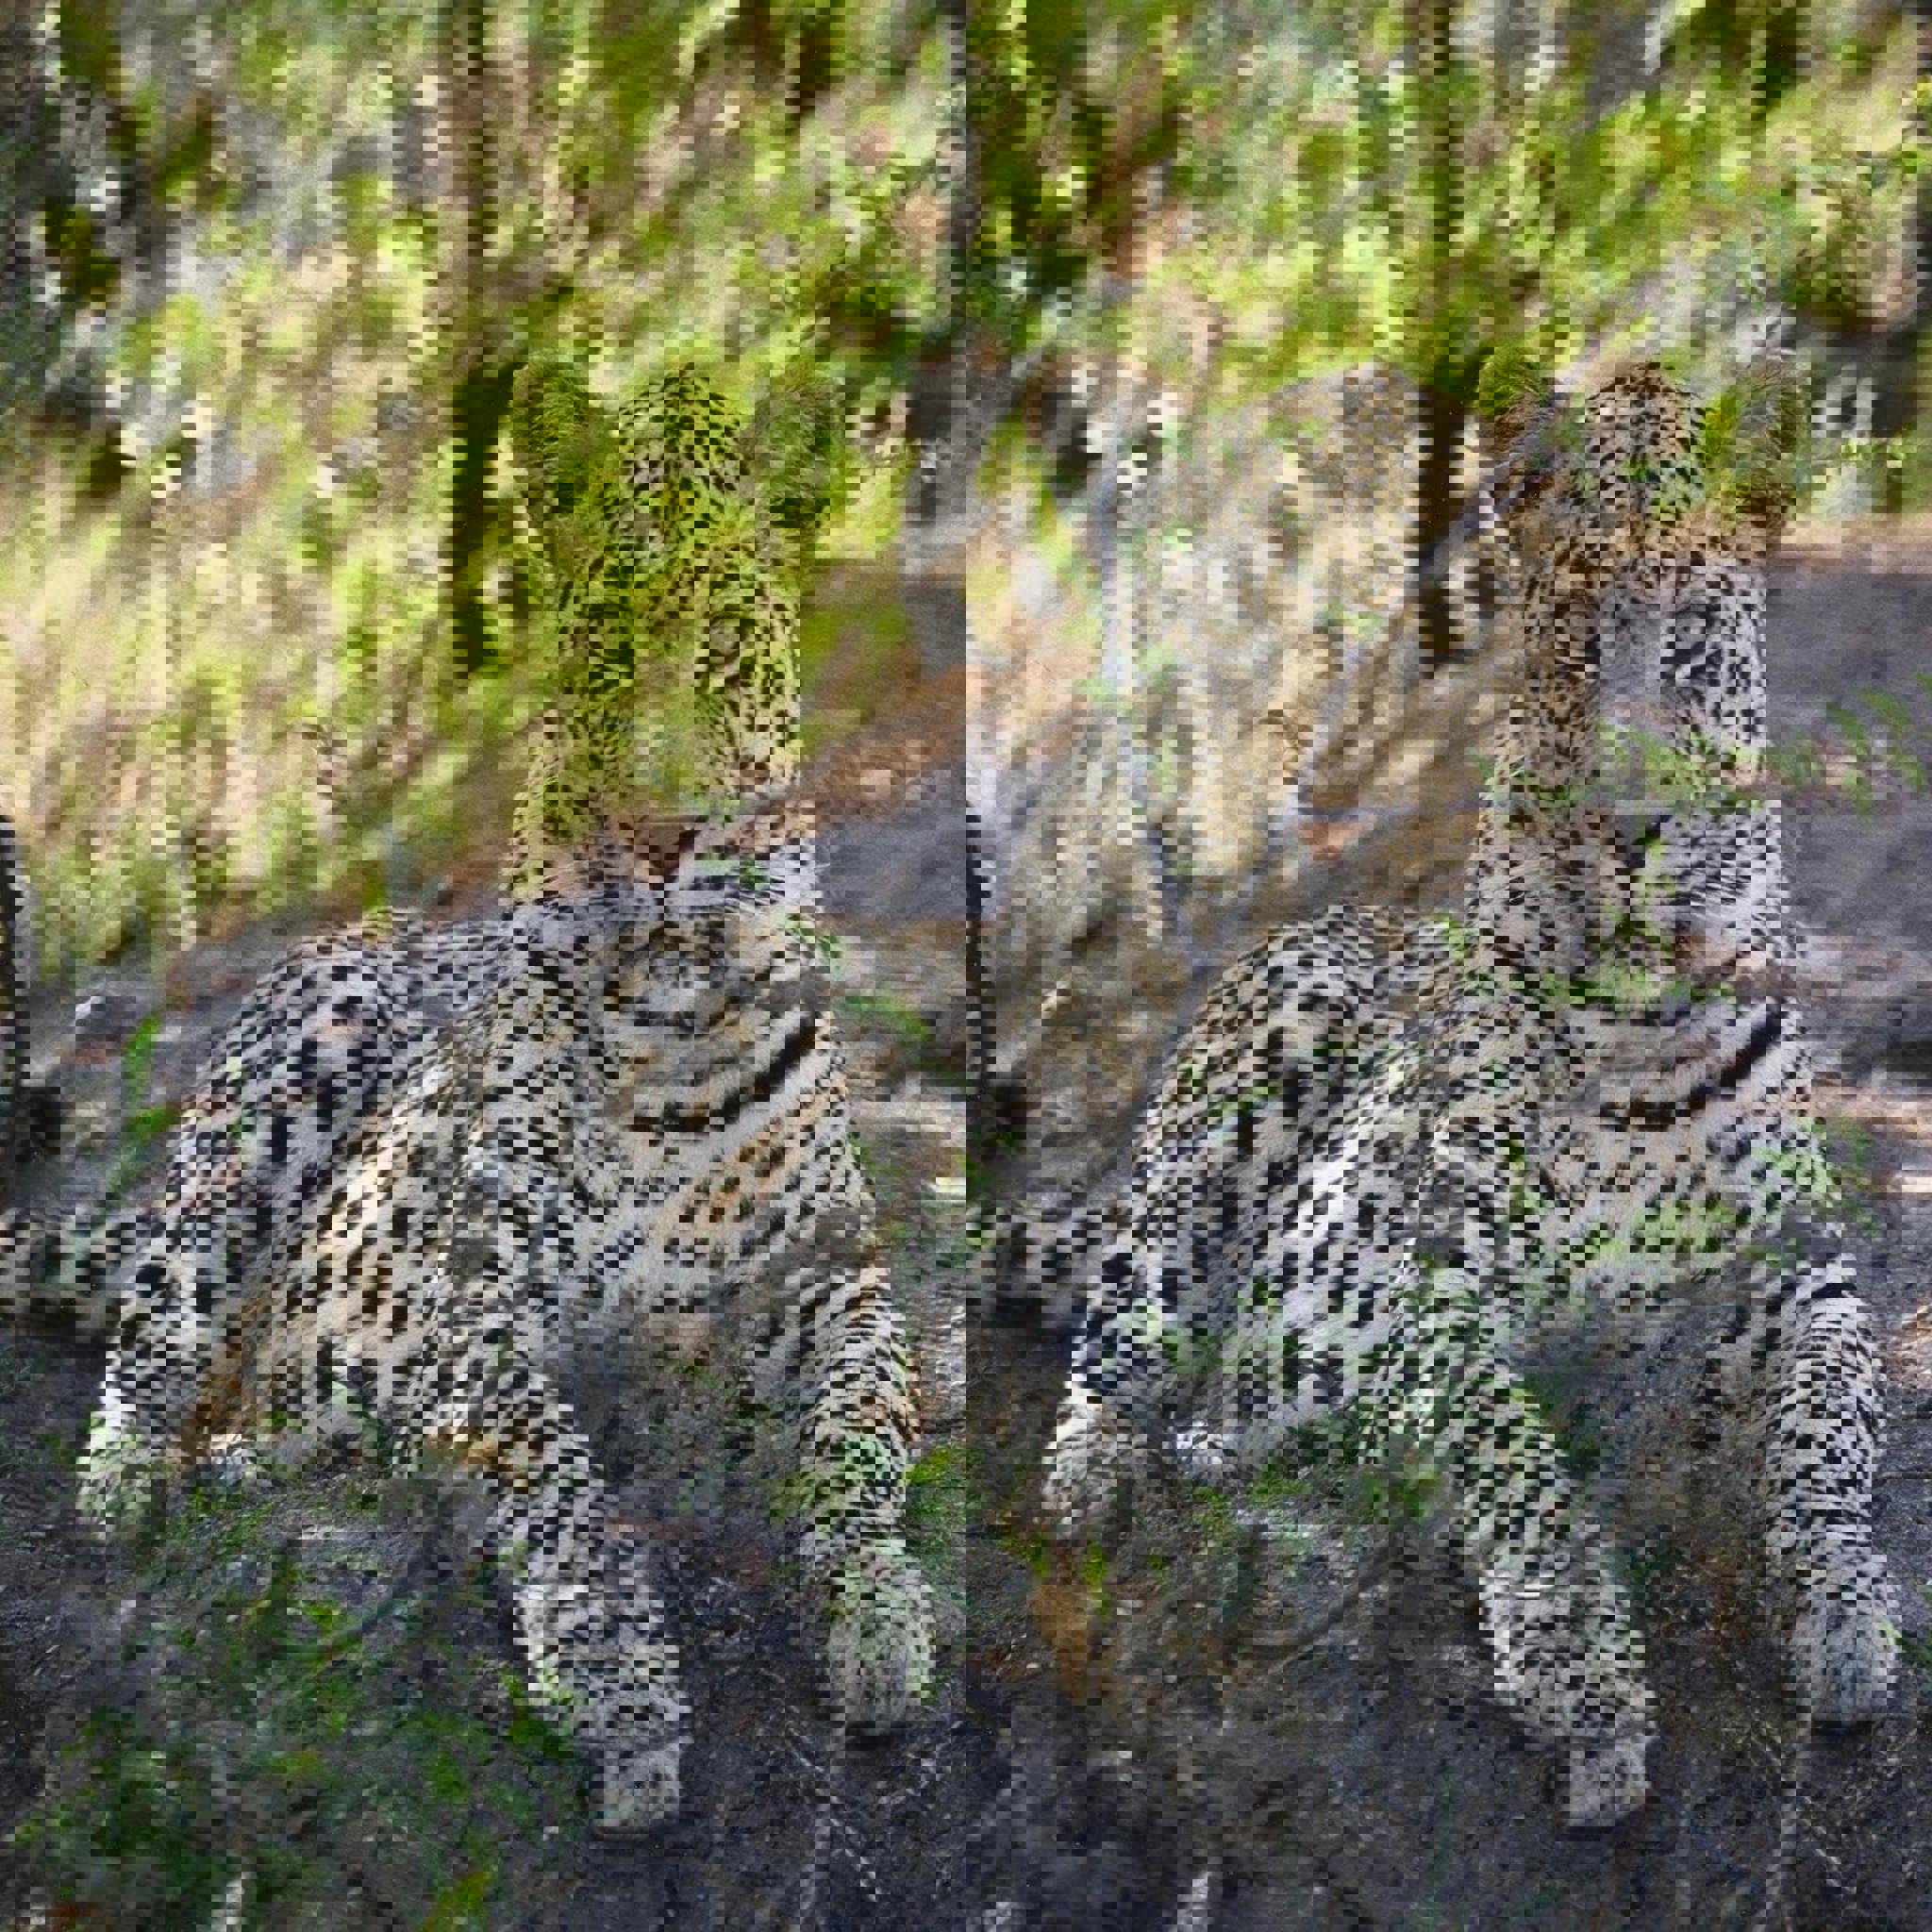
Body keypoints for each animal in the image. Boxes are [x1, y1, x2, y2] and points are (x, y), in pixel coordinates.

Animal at [2, 355, 934, 1833]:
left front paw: (883, 1619)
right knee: (170, 1349)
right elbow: (563, 1486)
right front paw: (621, 1700)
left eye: (723, 641)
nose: (665, 831)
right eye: (603, 644)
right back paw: (164, 1479)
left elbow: (859, 1442)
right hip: (278, 1101)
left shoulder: (836, 1280)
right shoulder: (467, 1307)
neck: (674, 1025)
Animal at [995, 355, 1898, 1829]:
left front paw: (1847, 1619)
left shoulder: (1803, 1260)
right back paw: (1137, 1469)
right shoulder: (1422, 1281)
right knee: (1124, 1341)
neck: (1646, 1004)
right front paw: (1587, 1691)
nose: (1634, 825)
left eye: (1691, 634)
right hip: (1245, 1092)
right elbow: (1518, 1459)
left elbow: (1834, 1421)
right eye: (1575, 631)